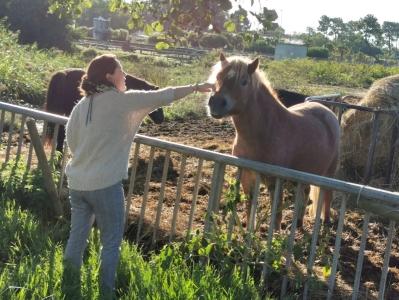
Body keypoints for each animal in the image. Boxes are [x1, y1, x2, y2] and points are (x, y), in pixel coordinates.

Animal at [206, 54, 340, 227]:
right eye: (218, 77)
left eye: (244, 81)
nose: (215, 103)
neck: (265, 131)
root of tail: (327, 112)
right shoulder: (247, 175)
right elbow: (249, 206)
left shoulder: (275, 180)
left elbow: (276, 216)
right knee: (305, 192)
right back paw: (298, 223)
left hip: (328, 173)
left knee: (327, 197)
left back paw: (326, 223)